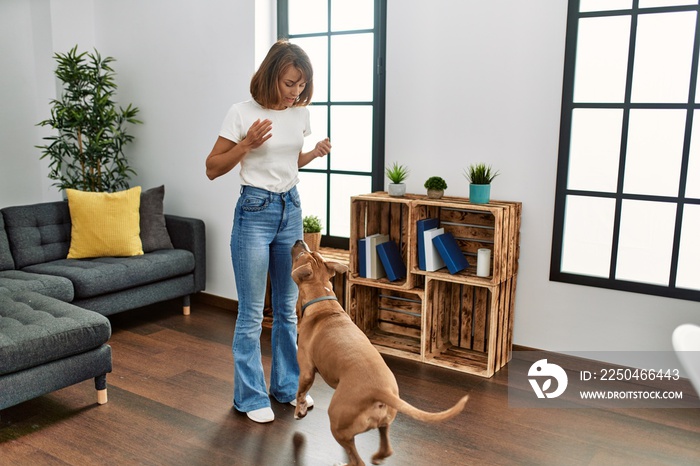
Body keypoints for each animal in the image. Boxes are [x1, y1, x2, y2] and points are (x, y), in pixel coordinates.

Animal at [290, 240, 470, 466]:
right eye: (310, 251)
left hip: (337, 420)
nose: (299, 241)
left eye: (301, 255)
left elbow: (300, 392)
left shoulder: (306, 371)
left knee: (357, 459)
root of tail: (380, 391)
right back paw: (377, 456)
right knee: (385, 447)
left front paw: (299, 411)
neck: (322, 300)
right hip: (382, 422)